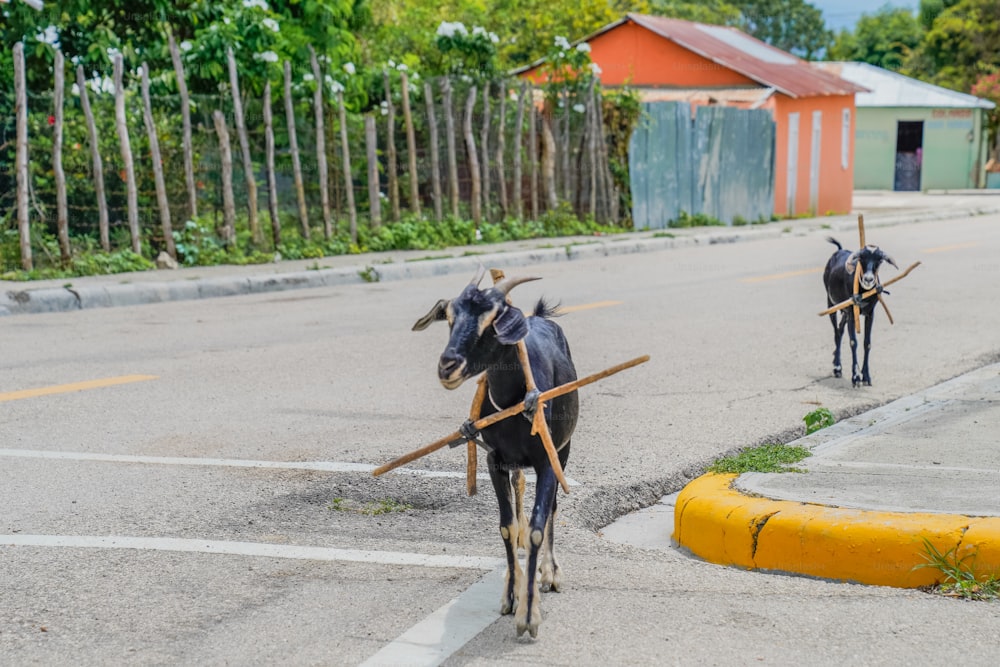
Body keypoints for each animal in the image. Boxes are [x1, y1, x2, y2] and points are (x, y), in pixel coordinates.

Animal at [410, 266, 580, 636]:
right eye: (449, 316)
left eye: (493, 319)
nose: (447, 366)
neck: (513, 405)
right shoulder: (493, 460)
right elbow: (507, 527)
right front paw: (511, 597)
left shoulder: (547, 461)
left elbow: (537, 525)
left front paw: (529, 615)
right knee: (519, 491)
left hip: (564, 449)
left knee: (552, 509)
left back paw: (550, 573)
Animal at [820, 239, 900, 386]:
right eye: (861, 258)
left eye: (880, 260)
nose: (868, 279)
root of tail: (838, 251)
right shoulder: (853, 314)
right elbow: (853, 342)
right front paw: (856, 377)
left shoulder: (870, 314)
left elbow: (867, 343)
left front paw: (866, 376)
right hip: (831, 303)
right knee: (836, 332)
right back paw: (837, 368)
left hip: (845, 312)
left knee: (840, 330)